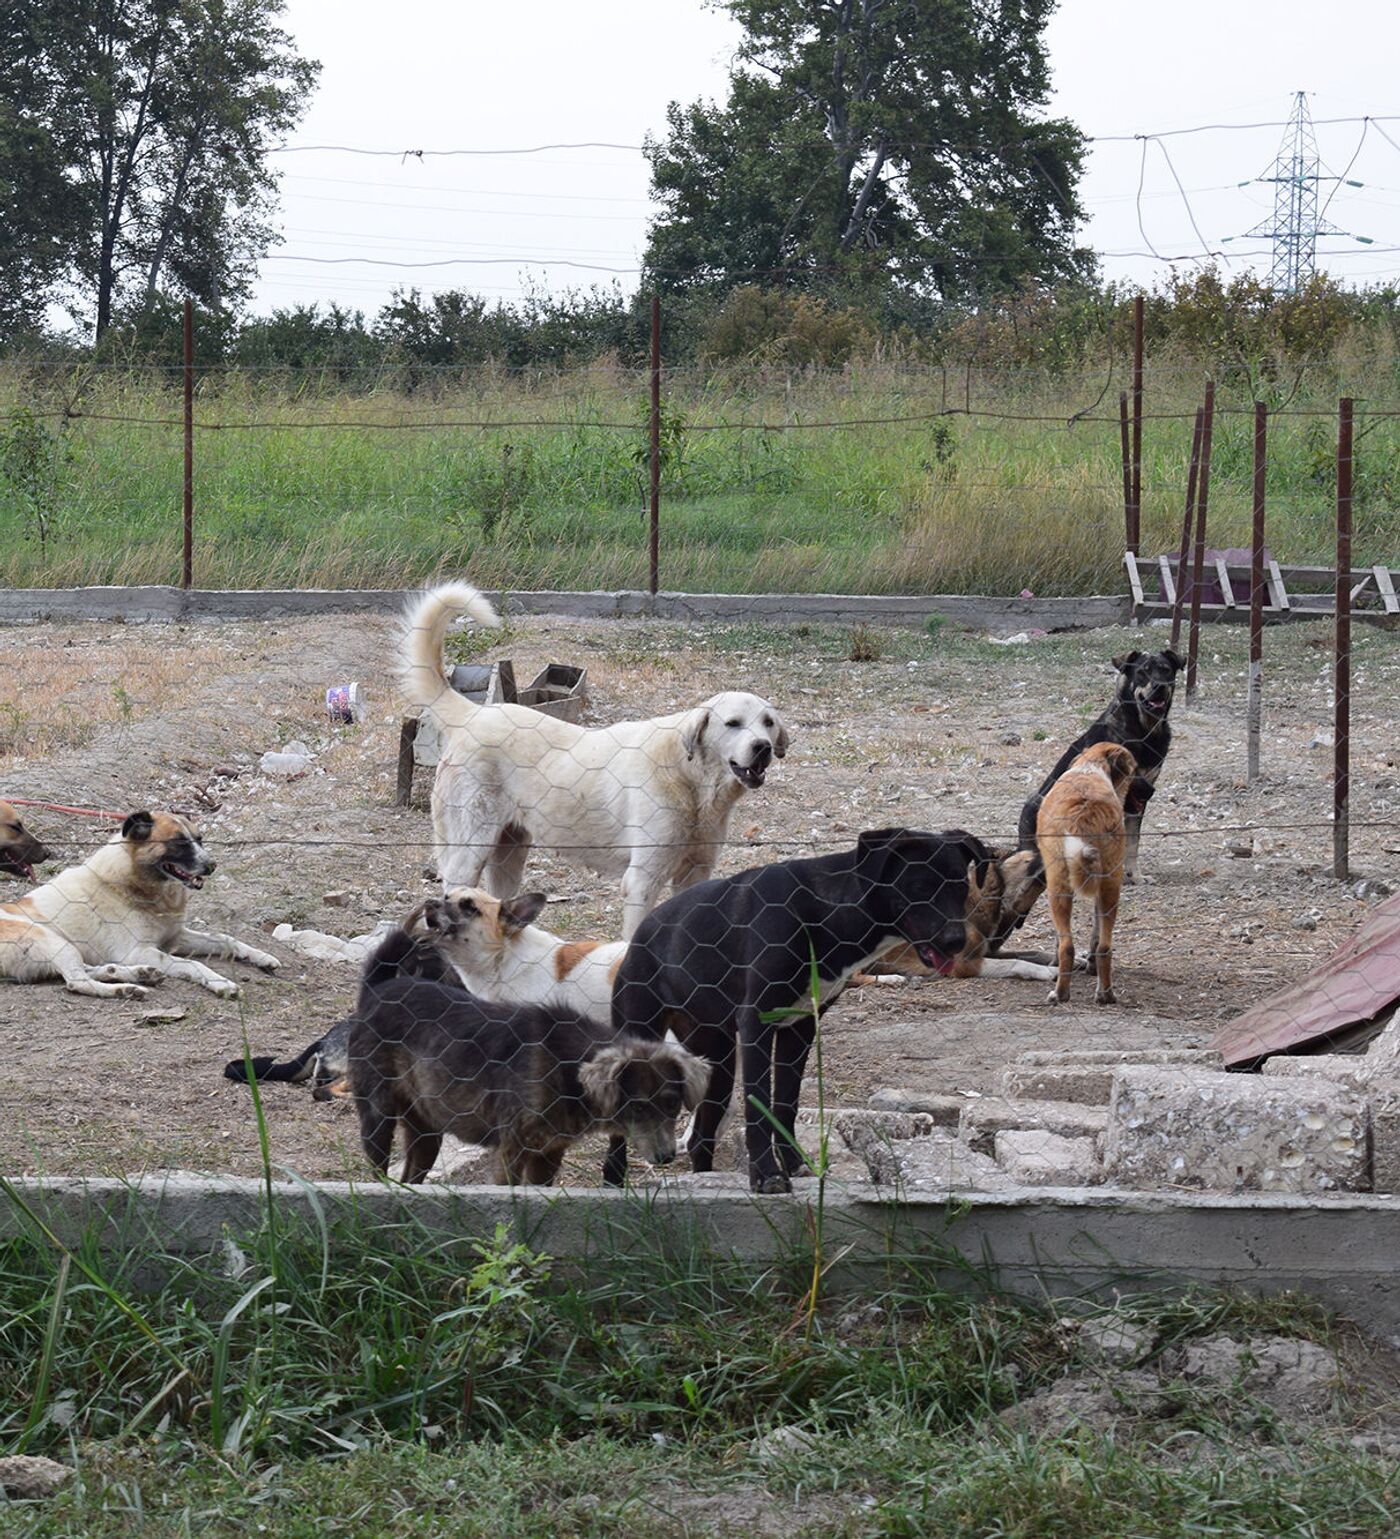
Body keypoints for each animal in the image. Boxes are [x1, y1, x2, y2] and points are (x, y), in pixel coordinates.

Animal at [0, 812, 281, 1003]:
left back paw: (138, 974)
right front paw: (221, 983)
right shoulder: (138, 951)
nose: (212, 866)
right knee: (76, 982)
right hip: (52, 940)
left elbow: (226, 939)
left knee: (89, 970)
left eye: (199, 839)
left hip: (65, 948)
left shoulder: (175, 938)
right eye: (179, 842)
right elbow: (194, 965)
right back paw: (127, 988)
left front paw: (260, 956)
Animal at [400, 578, 787, 929]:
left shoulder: (696, 873)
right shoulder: (642, 882)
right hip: (469, 851)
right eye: (733, 723)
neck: (692, 782)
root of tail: (474, 713)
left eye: (767, 723)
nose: (763, 748)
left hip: (509, 854)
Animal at [615, 824, 978, 1194]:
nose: (956, 942)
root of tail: (642, 933)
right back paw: (613, 1178)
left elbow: (786, 1103)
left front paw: (792, 1164)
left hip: (719, 1061)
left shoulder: (800, 1028)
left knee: (701, 1139)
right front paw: (766, 1175)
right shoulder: (756, 1023)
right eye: (920, 887)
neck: (823, 911)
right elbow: (760, 1106)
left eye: (961, 886)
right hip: (641, 1033)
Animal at [1027, 744, 1138, 1009]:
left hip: (1058, 888)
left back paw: (1060, 994)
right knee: (1105, 947)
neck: (1091, 767)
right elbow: (1096, 936)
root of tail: (1085, 810)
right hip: (1110, 886)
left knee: (1067, 947)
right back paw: (1105, 994)